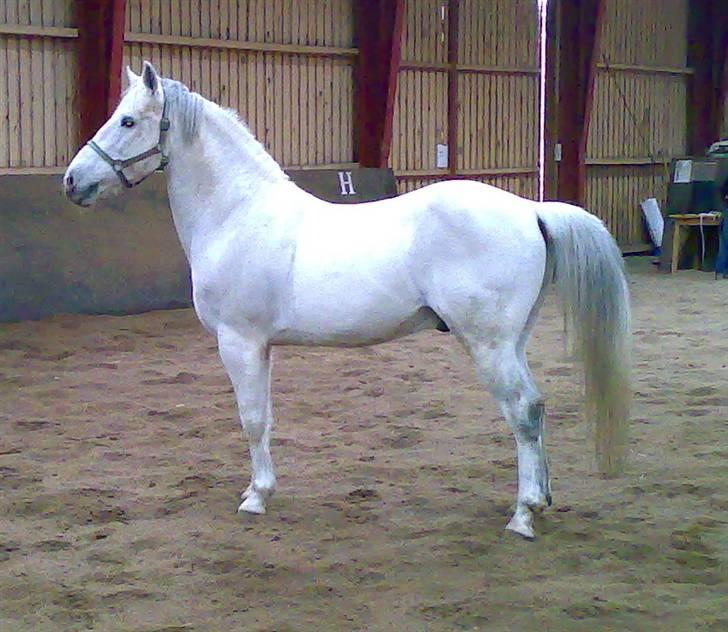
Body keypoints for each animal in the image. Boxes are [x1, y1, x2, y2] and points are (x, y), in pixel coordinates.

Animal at [65, 63, 628, 540]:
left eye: (128, 120)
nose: (72, 181)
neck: (239, 213)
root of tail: (532, 209)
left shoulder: (239, 342)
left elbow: (251, 418)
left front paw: (256, 499)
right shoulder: (262, 346)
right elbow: (265, 416)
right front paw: (258, 489)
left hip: (489, 346)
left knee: (523, 412)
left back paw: (523, 515)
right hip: (513, 342)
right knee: (536, 408)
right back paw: (543, 500)